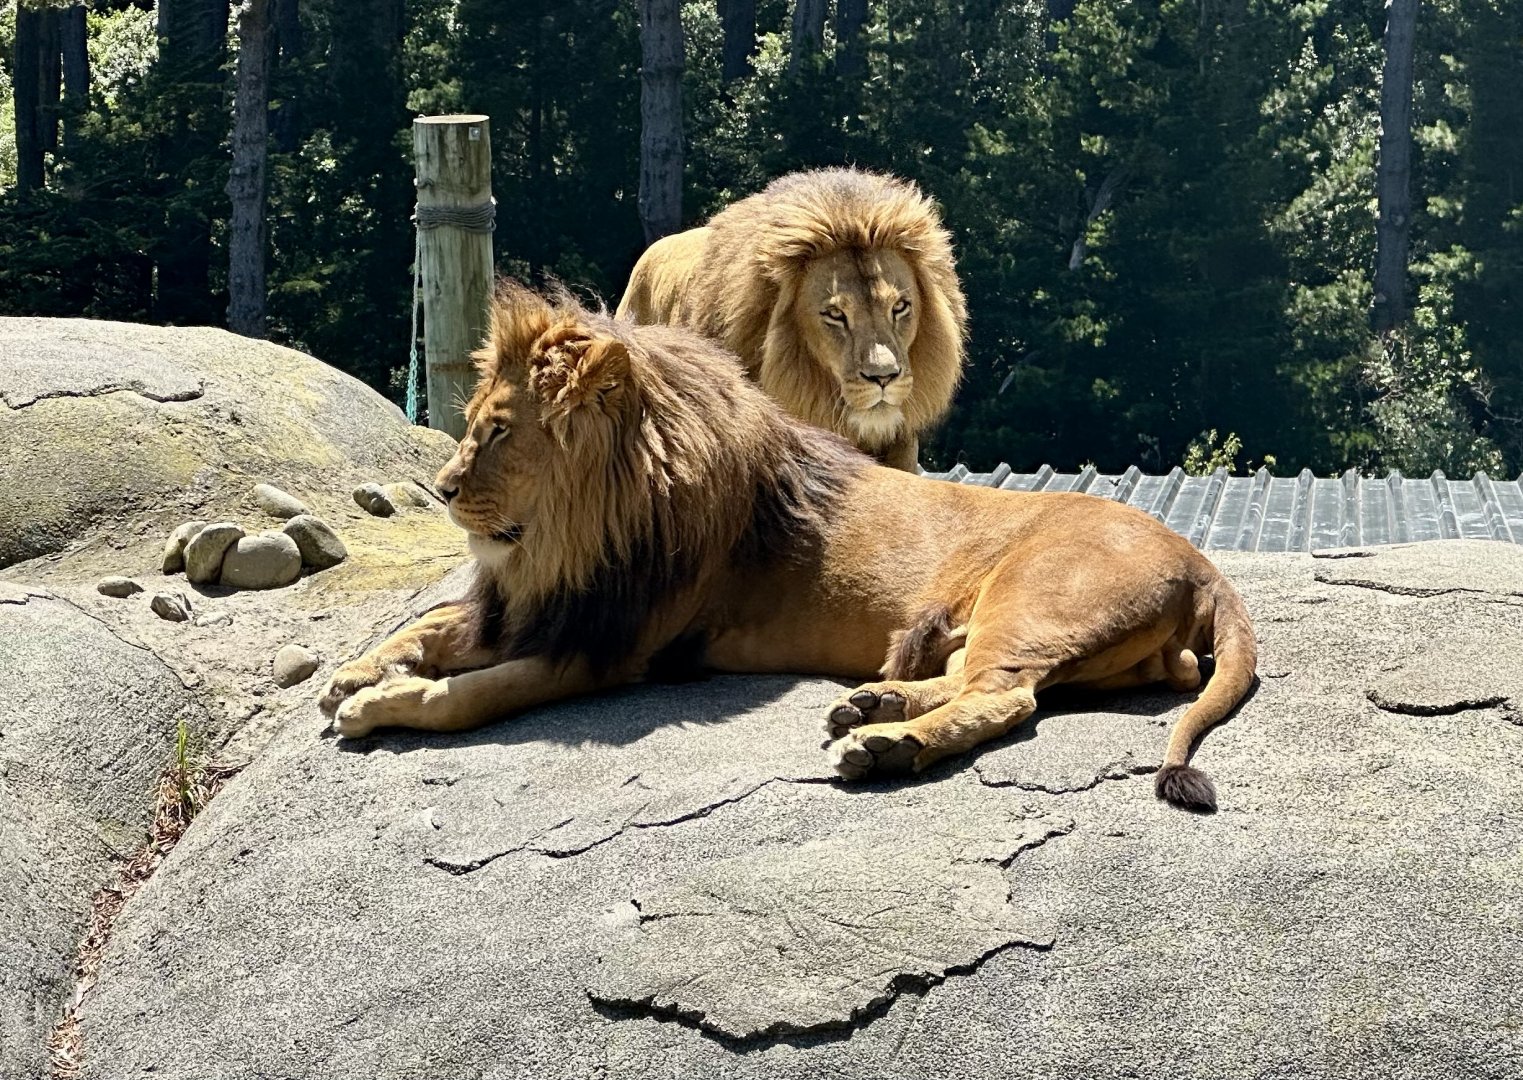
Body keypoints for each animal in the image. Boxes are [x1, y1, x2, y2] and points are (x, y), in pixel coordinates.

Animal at [321, 284, 1257, 811]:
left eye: (498, 432)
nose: (442, 489)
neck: (566, 539)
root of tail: (1202, 561)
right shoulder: (545, 606)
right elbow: (432, 626)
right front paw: (357, 670)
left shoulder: (606, 650)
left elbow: (472, 694)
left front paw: (380, 703)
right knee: (983, 681)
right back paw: (874, 706)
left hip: (1029, 601)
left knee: (1004, 700)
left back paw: (886, 748)